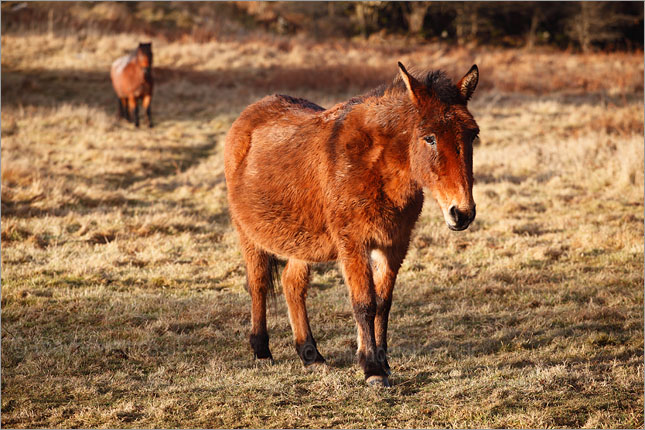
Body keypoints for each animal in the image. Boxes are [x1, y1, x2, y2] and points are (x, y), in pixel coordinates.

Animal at [223, 62, 478, 388]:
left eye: (472, 135)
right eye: (429, 138)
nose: (462, 213)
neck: (375, 167)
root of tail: (248, 114)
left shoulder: (394, 244)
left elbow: (383, 302)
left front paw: (382, 360)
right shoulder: (354, 244)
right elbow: (364, 303)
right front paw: (372, 368)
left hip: (300, 242)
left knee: (293, 284)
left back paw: (310, 354)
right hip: (248, 234)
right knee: (258, 283)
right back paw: (261, 350)